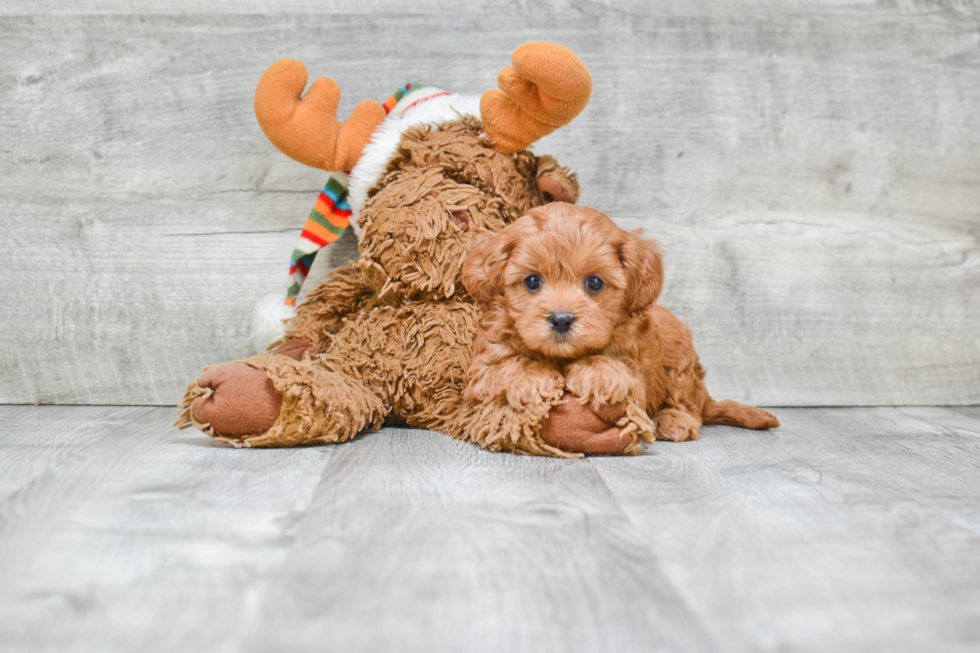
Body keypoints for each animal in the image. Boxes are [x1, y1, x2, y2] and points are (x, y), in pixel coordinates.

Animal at [462, 201, 780, 440]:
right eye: (531, 281)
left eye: (594, 283)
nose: (561, 319)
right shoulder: (480, 371)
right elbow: (504, 366)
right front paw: (532, 378)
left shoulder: (635, 369)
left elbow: (616, 369)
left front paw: (598, 373)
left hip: (681, 360)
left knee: (688, 406)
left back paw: (674, 421)